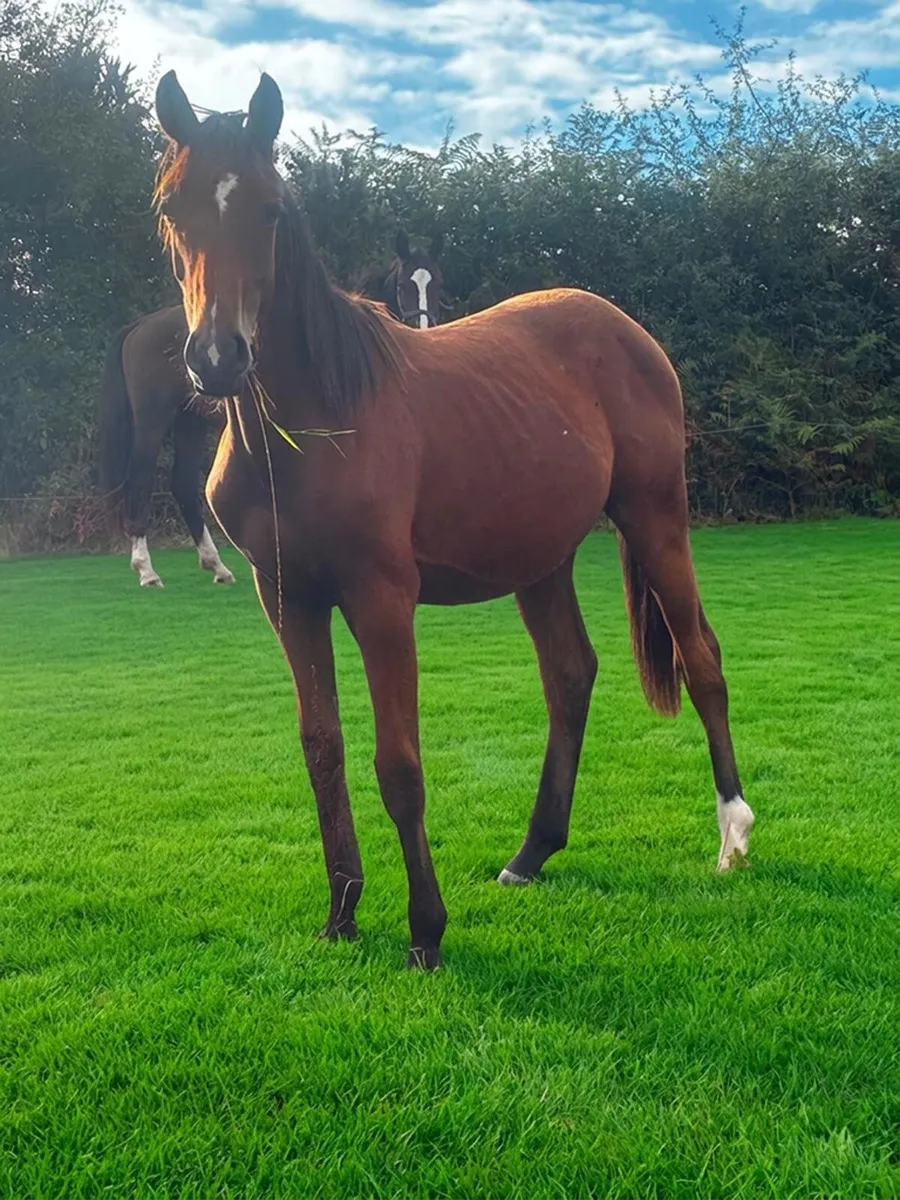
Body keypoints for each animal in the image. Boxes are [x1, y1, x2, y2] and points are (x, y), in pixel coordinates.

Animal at [97, 238, 445, 588]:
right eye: (403, 286)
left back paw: (216, 565)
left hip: (189, 422)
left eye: (436, 284)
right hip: (153, 422)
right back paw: (146, 569)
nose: (424, 327)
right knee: (139, 480)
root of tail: (140, 327)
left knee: (183, 484)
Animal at [153, 71, 755, 970]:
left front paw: (425, 932)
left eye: (268, 209)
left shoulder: (380, 600)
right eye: (171, 206)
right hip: (541, 558)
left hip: (655, 518)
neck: (316, 421)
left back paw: (732, 834)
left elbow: (399, 765)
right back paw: (531, 853)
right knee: (570, 676)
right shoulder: (287, 598)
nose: (218, 359)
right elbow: (322, 749)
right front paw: (341, 913)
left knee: (702, 657)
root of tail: (624, 329)